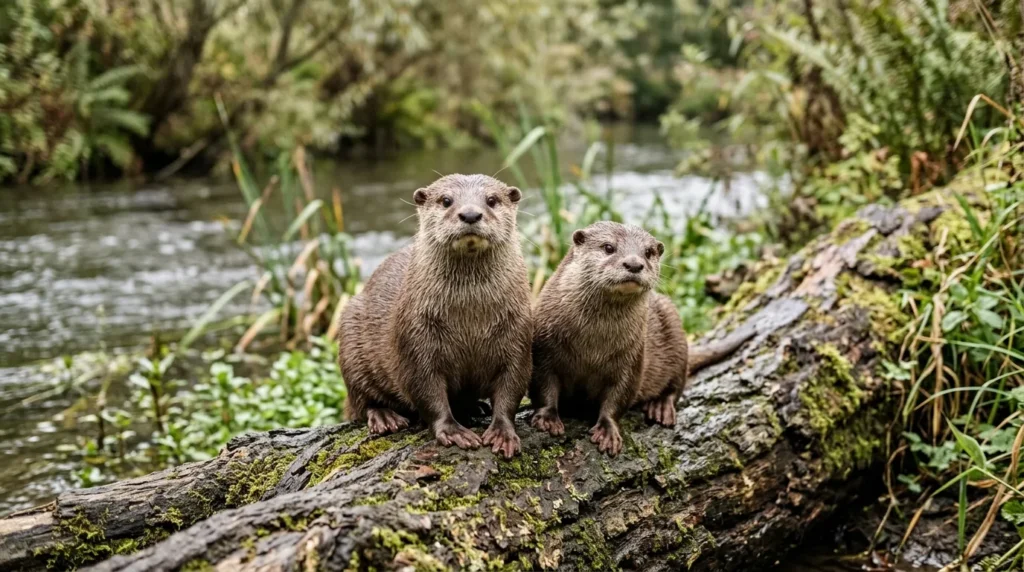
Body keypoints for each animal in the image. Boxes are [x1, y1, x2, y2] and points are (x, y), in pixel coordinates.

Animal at [339, 174, 532, 458]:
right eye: (446, 200)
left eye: (492, 200)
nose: (470, 214)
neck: (470, 320)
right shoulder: (415, 338)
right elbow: (426, 391)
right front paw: (452, 431)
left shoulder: (518, 335)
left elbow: (512, 388)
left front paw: (502, 432)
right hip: (350, 333)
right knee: (359, 402)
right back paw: (385, 417)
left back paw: (475, 406)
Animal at [529, 221, 753, 456]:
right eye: (608, 247)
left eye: (648, 252)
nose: (634, 264)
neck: (591, 347)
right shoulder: (545, 348)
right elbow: (544, 386)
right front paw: (547, 418)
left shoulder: (633, 358)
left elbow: (618, 398)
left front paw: (608, 431)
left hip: (675, 328)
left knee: (677, 384)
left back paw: (661, 407)